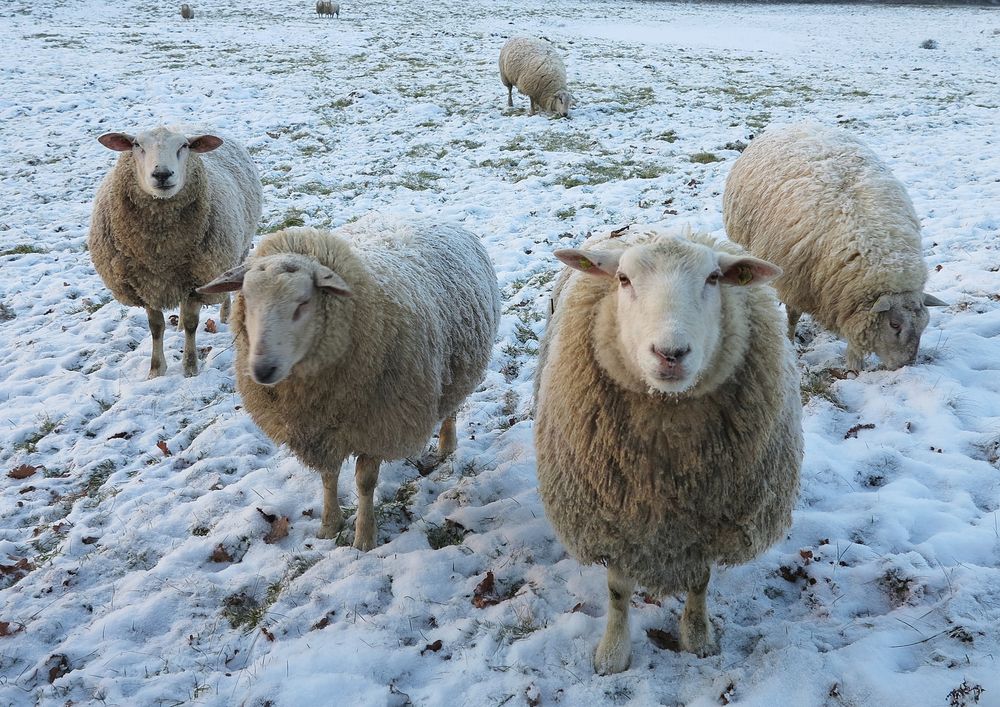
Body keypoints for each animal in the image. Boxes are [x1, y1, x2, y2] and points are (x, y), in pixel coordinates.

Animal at [89, 127, 262, 382]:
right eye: (137, 145)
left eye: (184, 146)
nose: (162, 174)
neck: (161, 250)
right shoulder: (145, 285)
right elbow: (156, 327)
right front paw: (156, 369)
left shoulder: (198, 280)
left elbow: (192, 324)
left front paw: (190, 367)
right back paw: (177, 325)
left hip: (233, 252)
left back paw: (224, 314)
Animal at [197, 216, 500, 552]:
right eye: (247, 300)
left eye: (303, 303)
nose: (263, 370)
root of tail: (436, 219)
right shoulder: (321, 429)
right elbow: (328, 476)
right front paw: (330, 525)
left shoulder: (377, 423)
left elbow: (365, 483)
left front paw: (364, 538)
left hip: (460, 365)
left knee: (452, 408)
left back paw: (447, 444)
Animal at [532, 227, 804, 676]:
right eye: (623, 279)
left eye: (714, 278)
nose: (671, 353)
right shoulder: (616, 521)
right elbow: (618, 590)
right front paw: (613, 653)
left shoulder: (708, 524)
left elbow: (700, 582)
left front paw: (697, 637)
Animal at [720, 121, 944, 370]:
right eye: (894, 325)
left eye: (924, 324)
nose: (906, 365)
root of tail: (798, 123)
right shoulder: (795, 279)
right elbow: (793, 315)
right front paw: (790, 341)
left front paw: (855, 365)